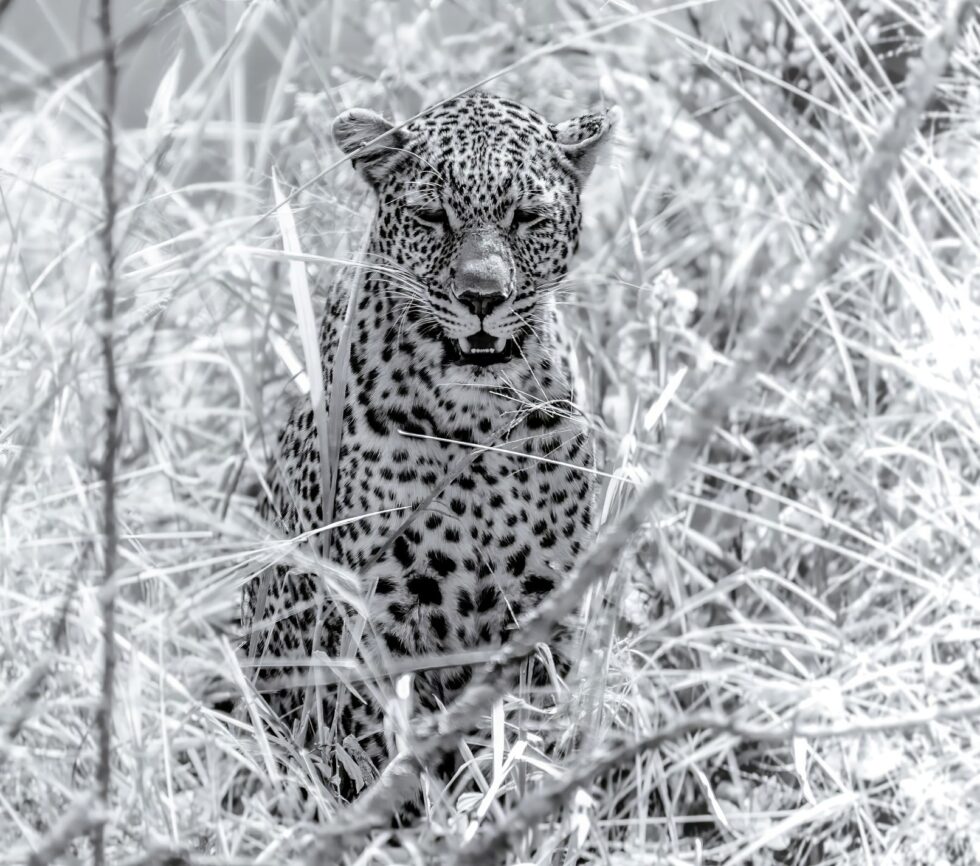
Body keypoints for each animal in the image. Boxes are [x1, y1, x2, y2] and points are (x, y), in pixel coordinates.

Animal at [241, 91, 616, 798]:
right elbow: (380, 755)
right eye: (430, 216)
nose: (482, 297)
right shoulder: (375, 625)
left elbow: (529, 738)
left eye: (527, 217)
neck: (475, 418)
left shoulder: (546, 610)